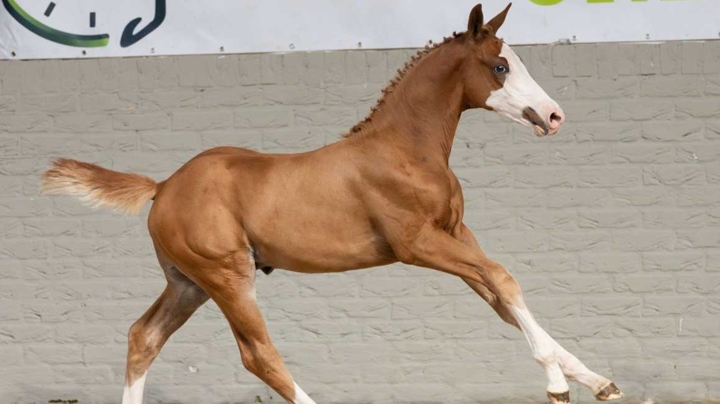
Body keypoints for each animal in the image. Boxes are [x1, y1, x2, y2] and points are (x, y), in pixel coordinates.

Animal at [42, 3, 620, 404]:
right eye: (500, 67)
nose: (554, 116)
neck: (404, 149)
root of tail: (163, 186)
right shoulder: (418, 245)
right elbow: (503, 279)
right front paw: (557, 384)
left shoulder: (456, 235)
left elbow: (502, 299)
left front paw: (598, 382)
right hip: (227, 277)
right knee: (258, 355)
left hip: (188, 283)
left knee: (143, 337)